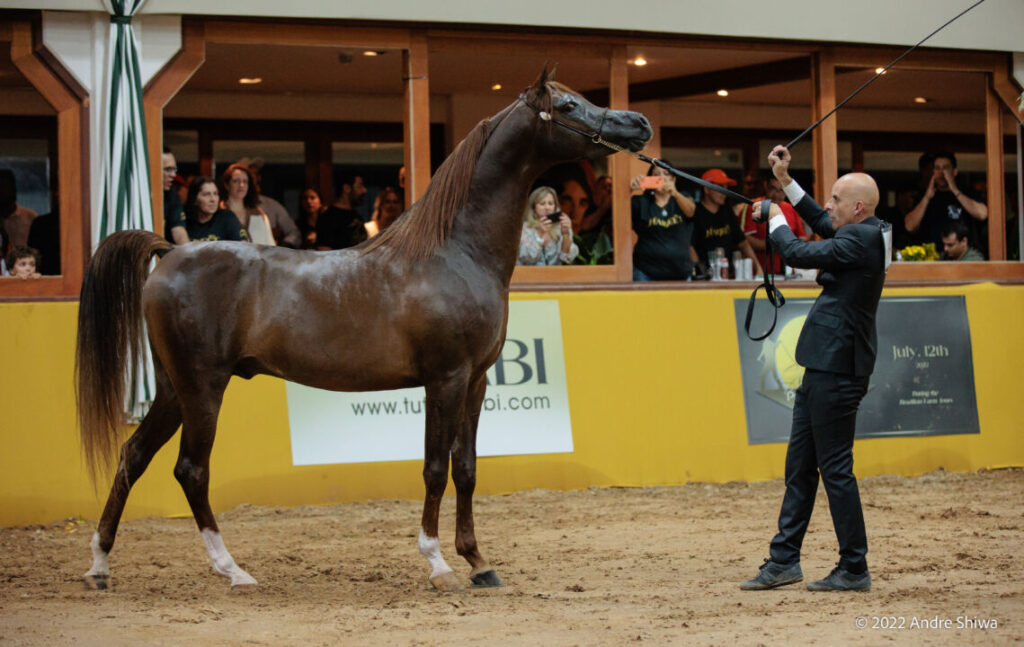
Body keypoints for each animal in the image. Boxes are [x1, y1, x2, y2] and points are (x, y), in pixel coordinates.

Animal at [75, 67, 652, 592]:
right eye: (570, 106)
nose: (639, 123)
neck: (453, 252)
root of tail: (169, 252)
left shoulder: (476, 381)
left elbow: (466, 468)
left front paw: (478, 562)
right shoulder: (444, 378)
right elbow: (434, 468)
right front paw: (438, 564)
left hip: (173, 388)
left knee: (133, 457)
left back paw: (100, 566)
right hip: (202, 388)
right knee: (191, 470)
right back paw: (233, 570)